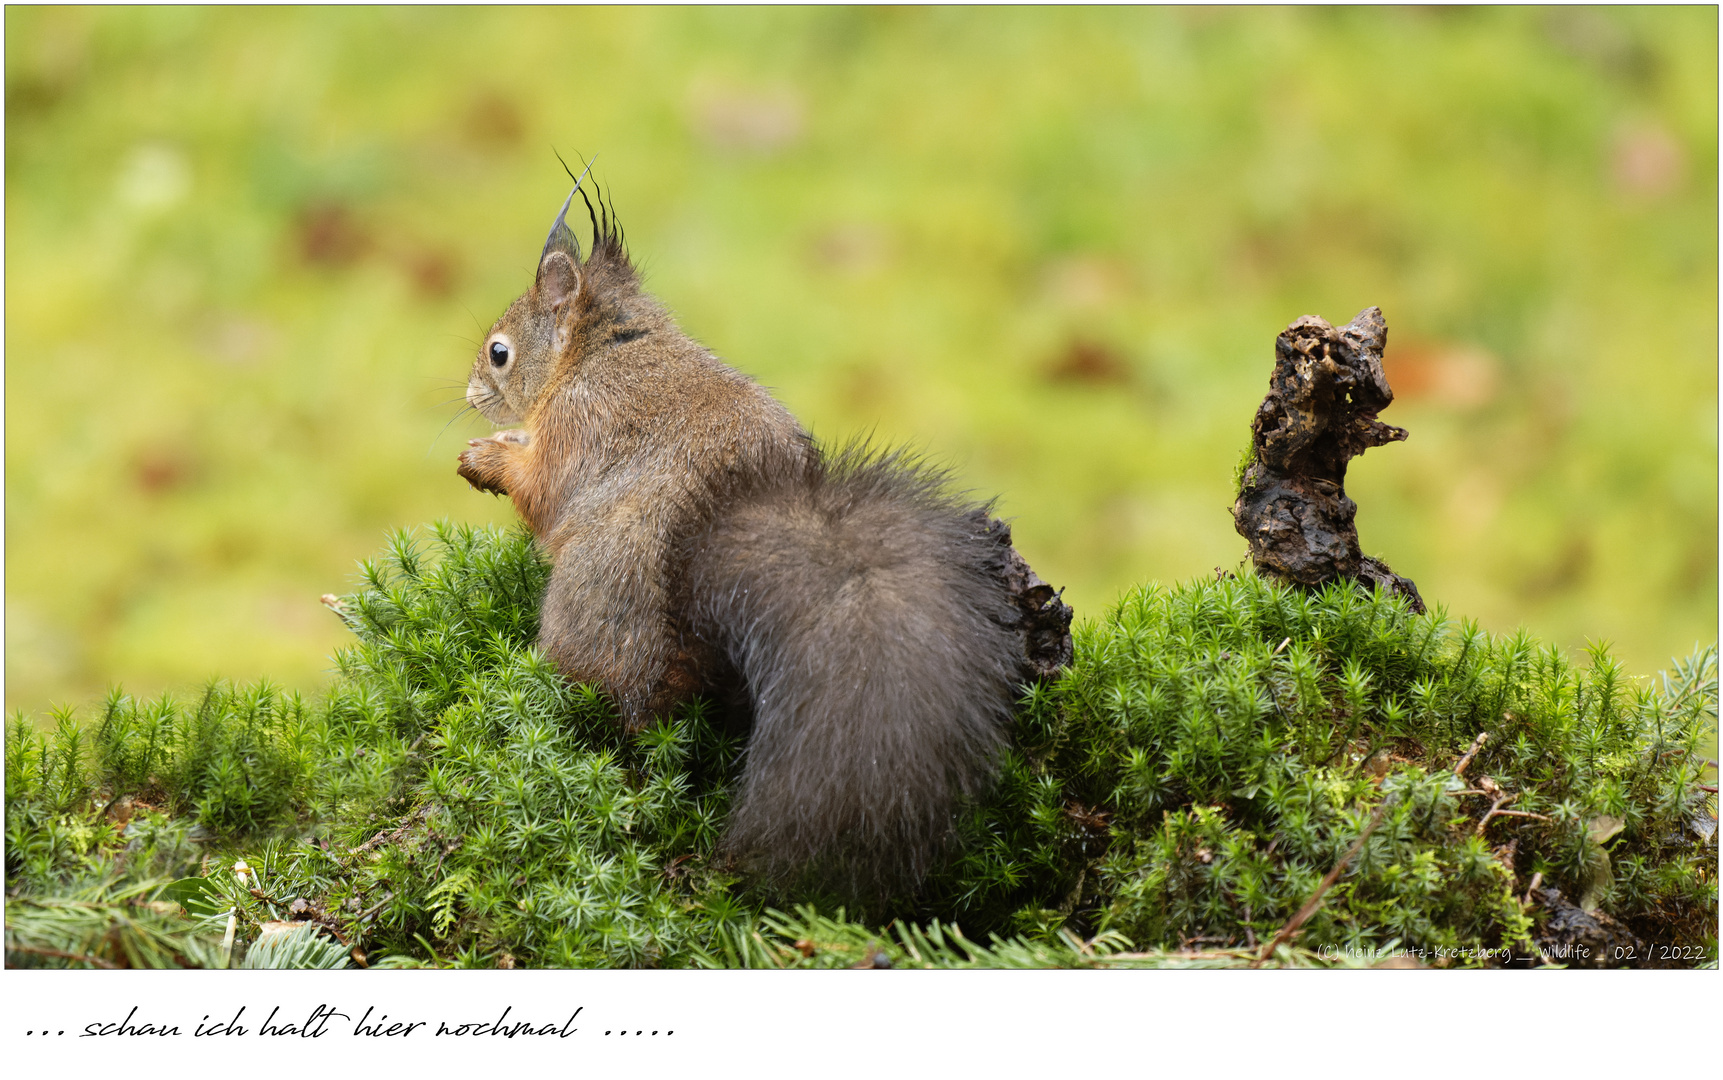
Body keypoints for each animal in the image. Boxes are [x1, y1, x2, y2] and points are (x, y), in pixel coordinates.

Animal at [458, 177, 1075, 902]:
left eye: (500, 352)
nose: (471, 393)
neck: (602, 349)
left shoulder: (582, 424)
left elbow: (542, 490)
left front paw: (489, 457)